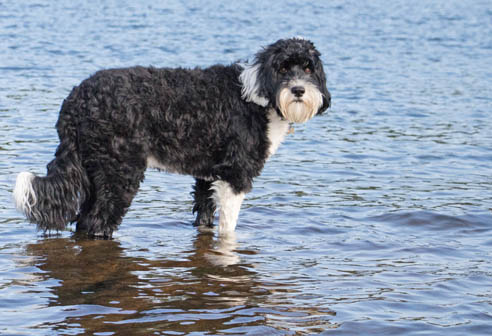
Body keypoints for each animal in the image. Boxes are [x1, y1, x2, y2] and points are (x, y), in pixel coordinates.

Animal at [13, 37, 330, 239]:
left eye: (308, 68)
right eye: (283, 67)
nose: (298, 90)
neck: (257, 96)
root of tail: (75, 100)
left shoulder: (207, 177)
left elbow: (205, 216)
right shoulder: (235, 176)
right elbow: (228, 229)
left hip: (96, 173)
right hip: (119, 173)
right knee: (94, 223)